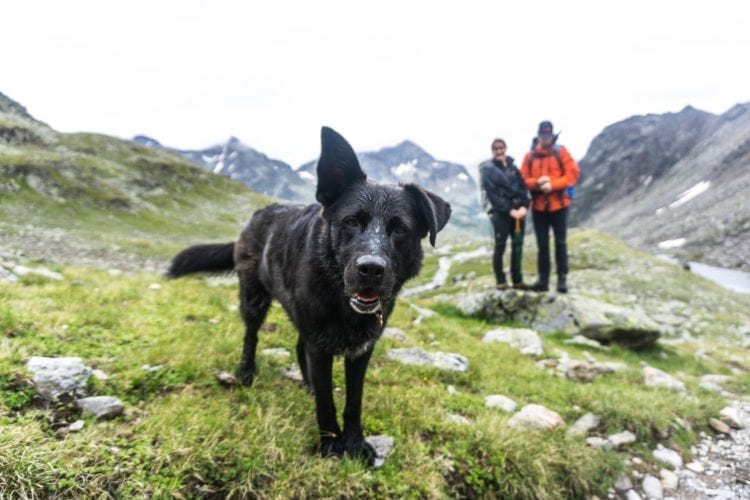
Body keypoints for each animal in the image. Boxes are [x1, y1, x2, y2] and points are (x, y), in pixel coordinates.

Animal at [169, 127, 452, 462]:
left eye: (400, 229)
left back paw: (308, 385)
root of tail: (257, 215)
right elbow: (327, 403)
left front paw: (354, 443)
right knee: (252, 336)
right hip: (254, 299)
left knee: (298, 345)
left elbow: (353, 402)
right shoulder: (321, 344)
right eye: (351, 221)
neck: (341, 302)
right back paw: (246, 373)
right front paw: (330, 444)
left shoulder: (361, 350)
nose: (371, 269)